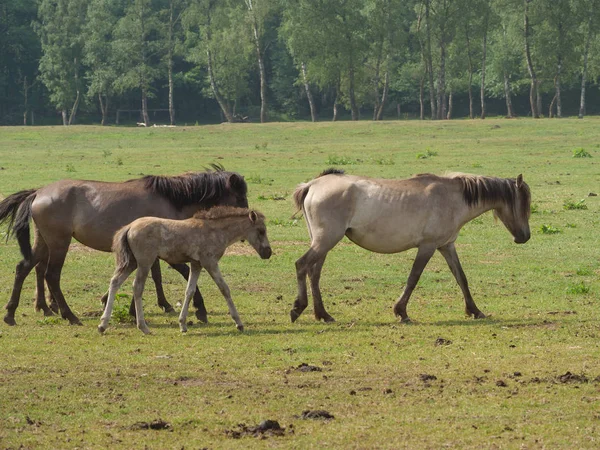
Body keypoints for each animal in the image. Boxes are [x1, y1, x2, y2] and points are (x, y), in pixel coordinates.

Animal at [0, 163, 248, 326]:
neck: (170, 199)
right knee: (50, 275)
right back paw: (69, 315)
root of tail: (38, 192)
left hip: (44, 241)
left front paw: (131, 308)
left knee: (24, 267)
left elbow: (151, 276)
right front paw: (200, 309)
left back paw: (12, 314)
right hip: (59, 242)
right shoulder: (164, 249)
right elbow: (181, 272)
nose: (249, 217)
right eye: (239, 197)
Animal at [98, 207, 272, 334]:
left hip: (132, 262)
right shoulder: (210, 263)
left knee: (115, 282)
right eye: (261, 231)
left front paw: (182, 324)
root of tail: (129, 227)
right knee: (137, 287)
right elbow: (224, 289)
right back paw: (143, 327)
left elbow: (189, 291)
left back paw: (103, 325)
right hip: (145, 262)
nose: (268, 253)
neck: (215, 231)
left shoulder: (196, 264)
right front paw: (239, 323)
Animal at [290, 169, 528, 324]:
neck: (452, 198)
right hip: (326, 240)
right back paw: (298, 308)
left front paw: (475, 310)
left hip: (322, 243)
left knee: (314, 273)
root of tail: (312, 185)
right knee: (302, 265)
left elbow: (461, 278)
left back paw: (323, 314)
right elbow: (413, 278)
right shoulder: (428, 246)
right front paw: (401, 312)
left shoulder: (447, 246)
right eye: (524, 204)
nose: (525, 237)